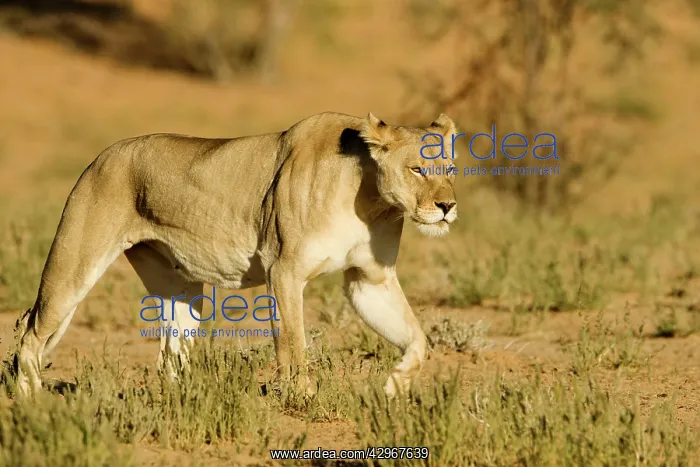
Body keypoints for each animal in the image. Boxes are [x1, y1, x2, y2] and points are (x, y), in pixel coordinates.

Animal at [13, 111, 459, 397]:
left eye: (451, 170)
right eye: (418, 169)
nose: (447, 207)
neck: (371, 201)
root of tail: (101, 155)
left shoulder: (369, 280)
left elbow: (417, 340)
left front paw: (394, 385)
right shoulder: (284, 270)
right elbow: (293, 341)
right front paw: (302, 396)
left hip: (183, 293)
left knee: (169, 356)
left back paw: (183, 402)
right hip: (74, 265)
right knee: (30, 332)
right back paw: (29, 399)